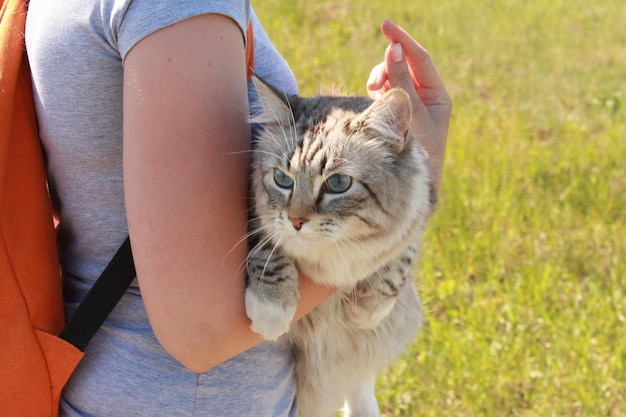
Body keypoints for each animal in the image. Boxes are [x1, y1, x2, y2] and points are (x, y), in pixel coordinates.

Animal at [244, 79, 434, 416]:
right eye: (282, 179)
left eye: (338, 184)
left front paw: (368, 309)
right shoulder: (253, 212)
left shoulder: (419, 209)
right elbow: (268, 252)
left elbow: (399, 257)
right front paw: (271, 310)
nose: (296, 221)